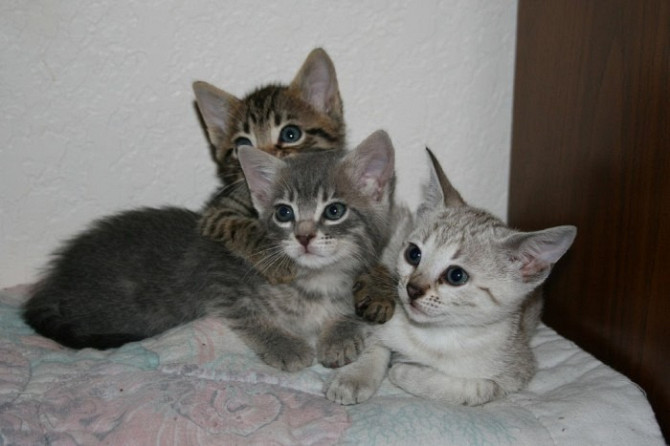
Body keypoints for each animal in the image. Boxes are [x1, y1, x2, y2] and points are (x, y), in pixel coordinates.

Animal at [23, 132, 396, 372]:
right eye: (283, 213)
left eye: (334, 211)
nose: (304, 237)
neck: (316, 281)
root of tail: (53, 282)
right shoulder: (219, 278)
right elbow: (251, 316)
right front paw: (285, 345)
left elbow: (351, 309)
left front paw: (341, 335)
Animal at [193, 48, 394, 324]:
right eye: (242, 144)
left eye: (290, 134)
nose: (262, 156)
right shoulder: (216, 213)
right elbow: (243, 225)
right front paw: (279, 261)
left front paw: (379, 287)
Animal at [326, 149, 576, 404]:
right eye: (413, 254)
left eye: (456, 276)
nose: (413, 289)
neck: (433, 335)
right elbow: (375, 346)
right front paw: (355, 378)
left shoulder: (516, 371)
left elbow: (469, 389)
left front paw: (404, 371)